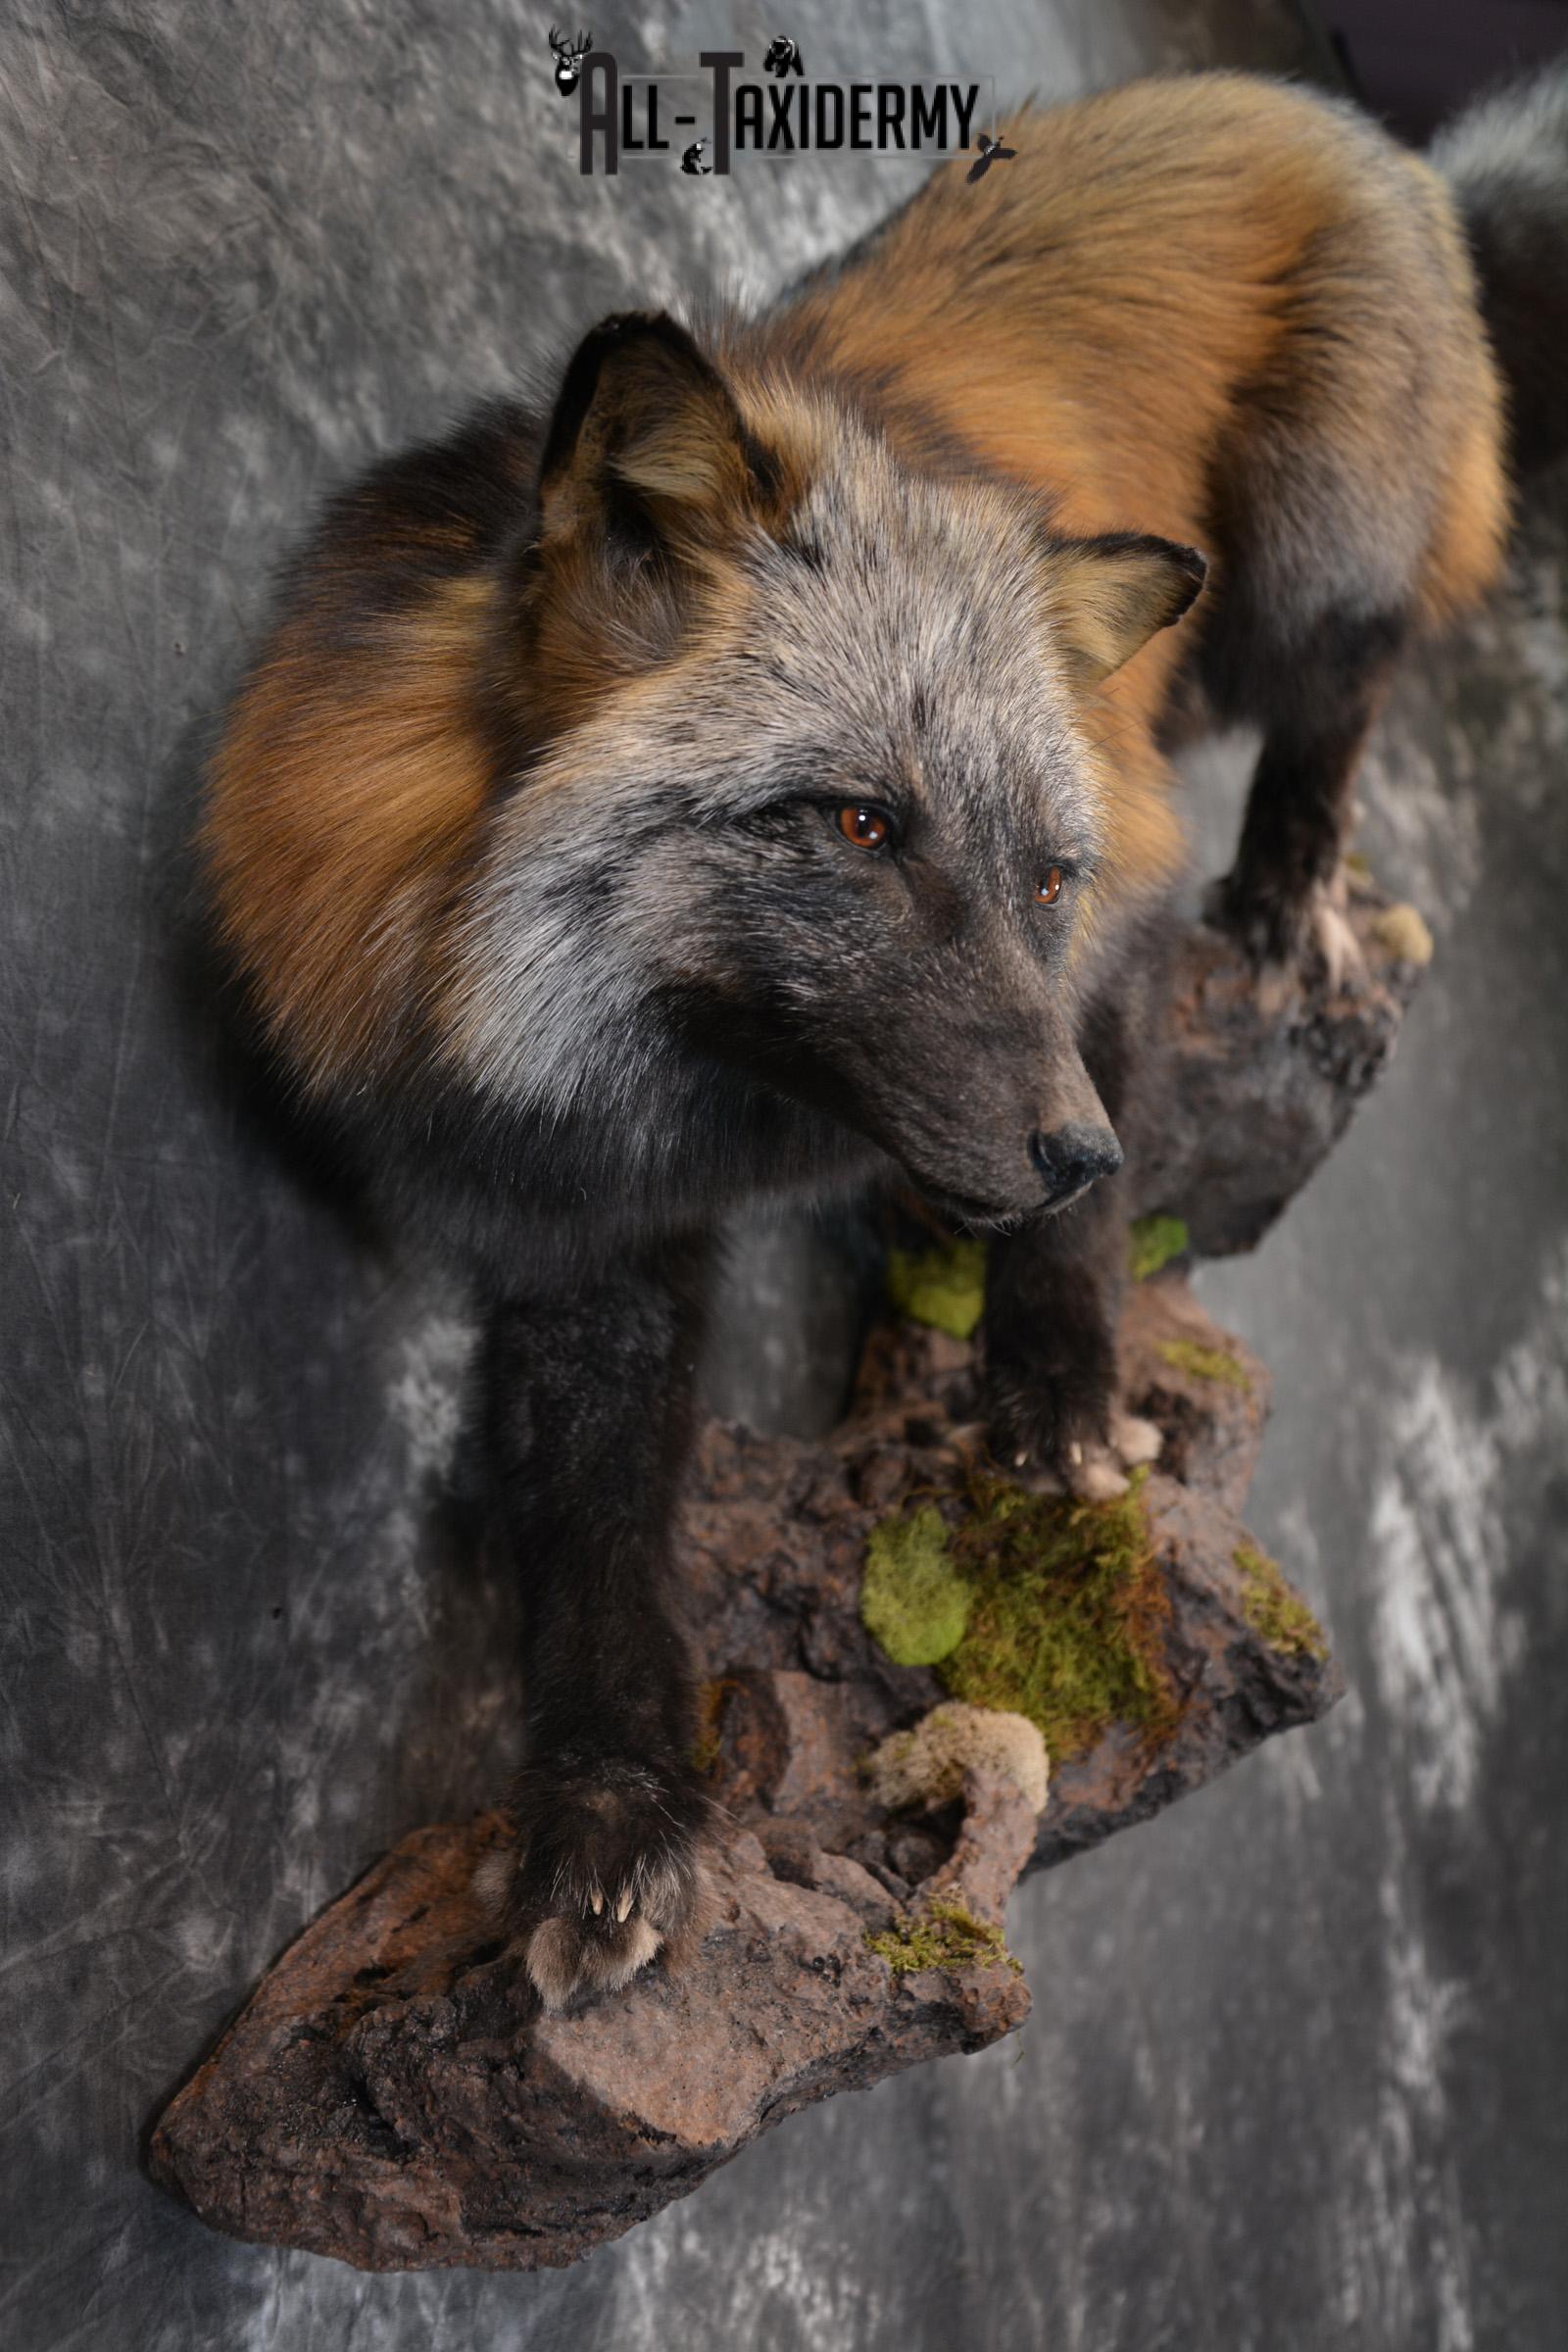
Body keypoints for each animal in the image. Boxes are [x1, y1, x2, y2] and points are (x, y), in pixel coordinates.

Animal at [203, 67, 1568, 2009]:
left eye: (1046, 876)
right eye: (859, 828)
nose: (1077, 1153)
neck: (679, 1089)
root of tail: (1348, 125)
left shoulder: (1119, 901)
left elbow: (1083, 1214)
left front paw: (1057, 1381)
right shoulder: (570, 1240)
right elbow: (598, 1561)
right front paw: (616, 1809)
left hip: (1311, 559)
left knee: (1347, 685)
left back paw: (1297, 872)